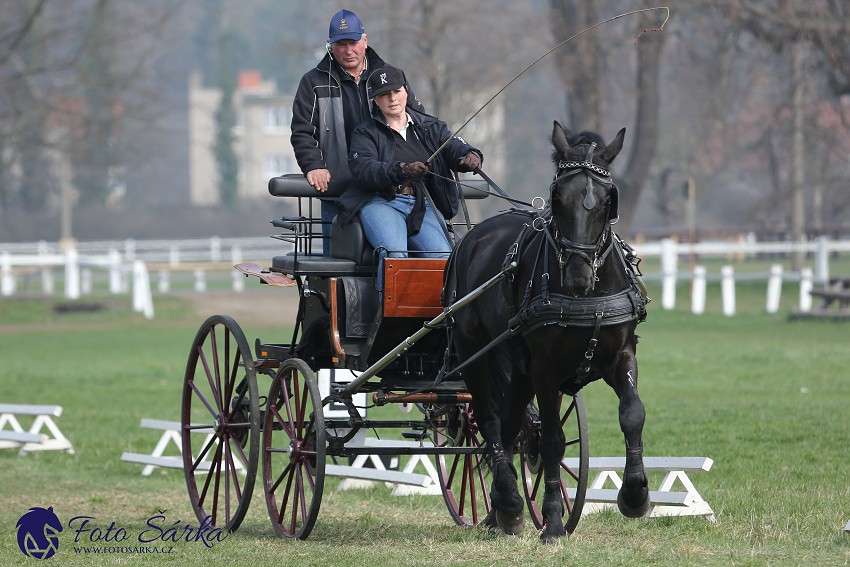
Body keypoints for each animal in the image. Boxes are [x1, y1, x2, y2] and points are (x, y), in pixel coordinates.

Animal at [440, 121, 644, 540]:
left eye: (606, 200)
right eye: (558, 197)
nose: (579, 276)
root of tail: (472, 237)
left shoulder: (621, 354)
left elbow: (632, 413)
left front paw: (635, 495)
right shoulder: (547, 369)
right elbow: (551, 441)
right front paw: (552, 520)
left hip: (519, 366)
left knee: (511, 424)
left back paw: (498, 511)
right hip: (474, 352)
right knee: (489, 420)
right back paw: (509, 505)